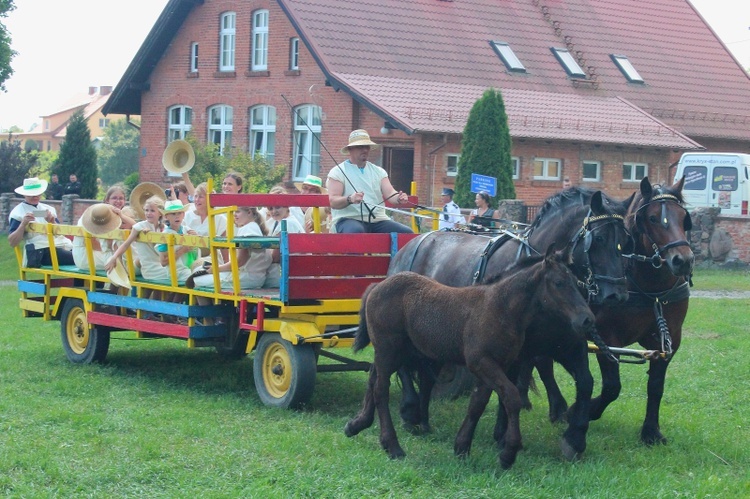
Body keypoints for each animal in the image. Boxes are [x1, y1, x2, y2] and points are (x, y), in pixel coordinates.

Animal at [346, 248, 600, 470]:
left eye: (576, 282)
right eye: (558, 283)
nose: (587, 320)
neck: (501, 308)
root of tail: (377, 286)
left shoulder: (496, 366)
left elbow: (478, 403)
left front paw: (462, 447)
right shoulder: (482, 363)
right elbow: (512, 398)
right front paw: (508, 454)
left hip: (396, 352)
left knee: (373, 378)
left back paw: (356, 425)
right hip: (389, 349)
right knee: (381, 389)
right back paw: (393, 446)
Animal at [524, 177, 696, 446]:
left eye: (683, 217)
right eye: (653, 218)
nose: (683, 260)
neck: (651, 290)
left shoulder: (669, 340)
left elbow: (656, 386)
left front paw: (651, 431)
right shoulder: (606, 337)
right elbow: (612, 387)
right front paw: (579, 412)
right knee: (542, 361)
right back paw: (559, 407)